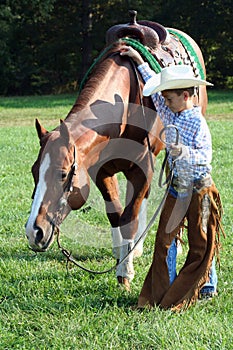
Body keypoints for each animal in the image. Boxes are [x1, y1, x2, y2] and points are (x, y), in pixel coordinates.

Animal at [25, 24, 208, 288]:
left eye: (62, 174)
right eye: (34, 172)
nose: (34, 232)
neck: (123, 106)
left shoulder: (141, 168)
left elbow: (129, 217)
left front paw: (125, 273)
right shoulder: (102, 171)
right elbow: (117, 215)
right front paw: (122, 254)